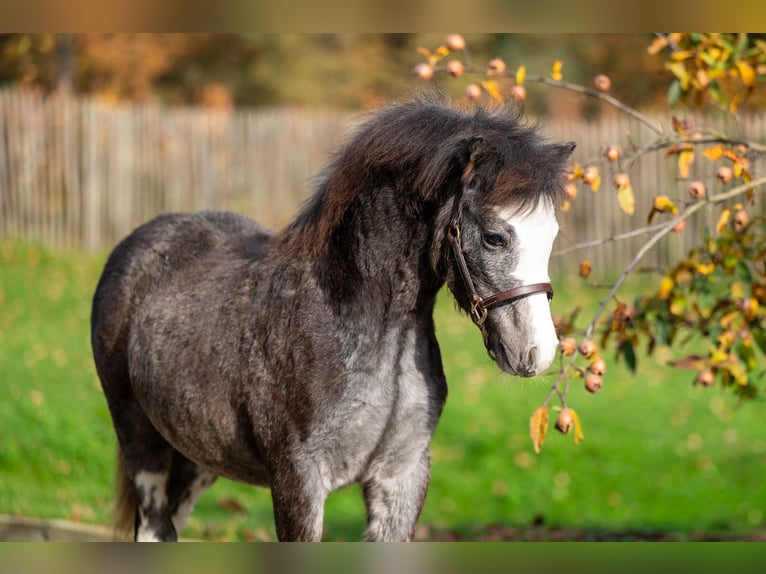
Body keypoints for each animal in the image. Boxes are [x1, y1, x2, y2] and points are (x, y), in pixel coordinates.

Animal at [90, 95, 575, 542]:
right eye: (494, 237)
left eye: (553, 234)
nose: (536, 351)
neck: (367, 332)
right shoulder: (299, 481)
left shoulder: (402, 477)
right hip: (140, 439)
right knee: (154, 526)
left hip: (199, 454)